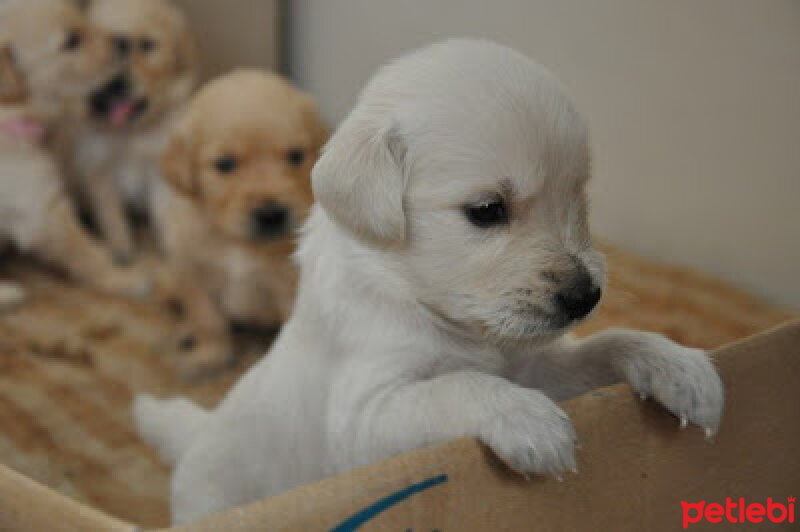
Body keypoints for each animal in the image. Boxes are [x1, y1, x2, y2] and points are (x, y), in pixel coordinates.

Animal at [0, 0, 150, 302]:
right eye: (71, 41)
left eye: (83, 17)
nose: (123, 41)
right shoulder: (42, 210)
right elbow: (87, 254)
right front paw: (124, 280)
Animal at [64, 0, 197, 264]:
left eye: (146, 44)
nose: (119, 42)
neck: (131, 134)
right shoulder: (98, 170)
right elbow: (111, 215)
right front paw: (120, 249)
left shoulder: (160, 174)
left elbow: (167, 216)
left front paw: (174, 249)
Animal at [158, 69, 326, 378]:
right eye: (225, 164)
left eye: (296, 155)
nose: (271, 214)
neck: (238, 244)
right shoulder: (193, 273)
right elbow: (208, 320)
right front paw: (209, 356)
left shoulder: (290, 291)